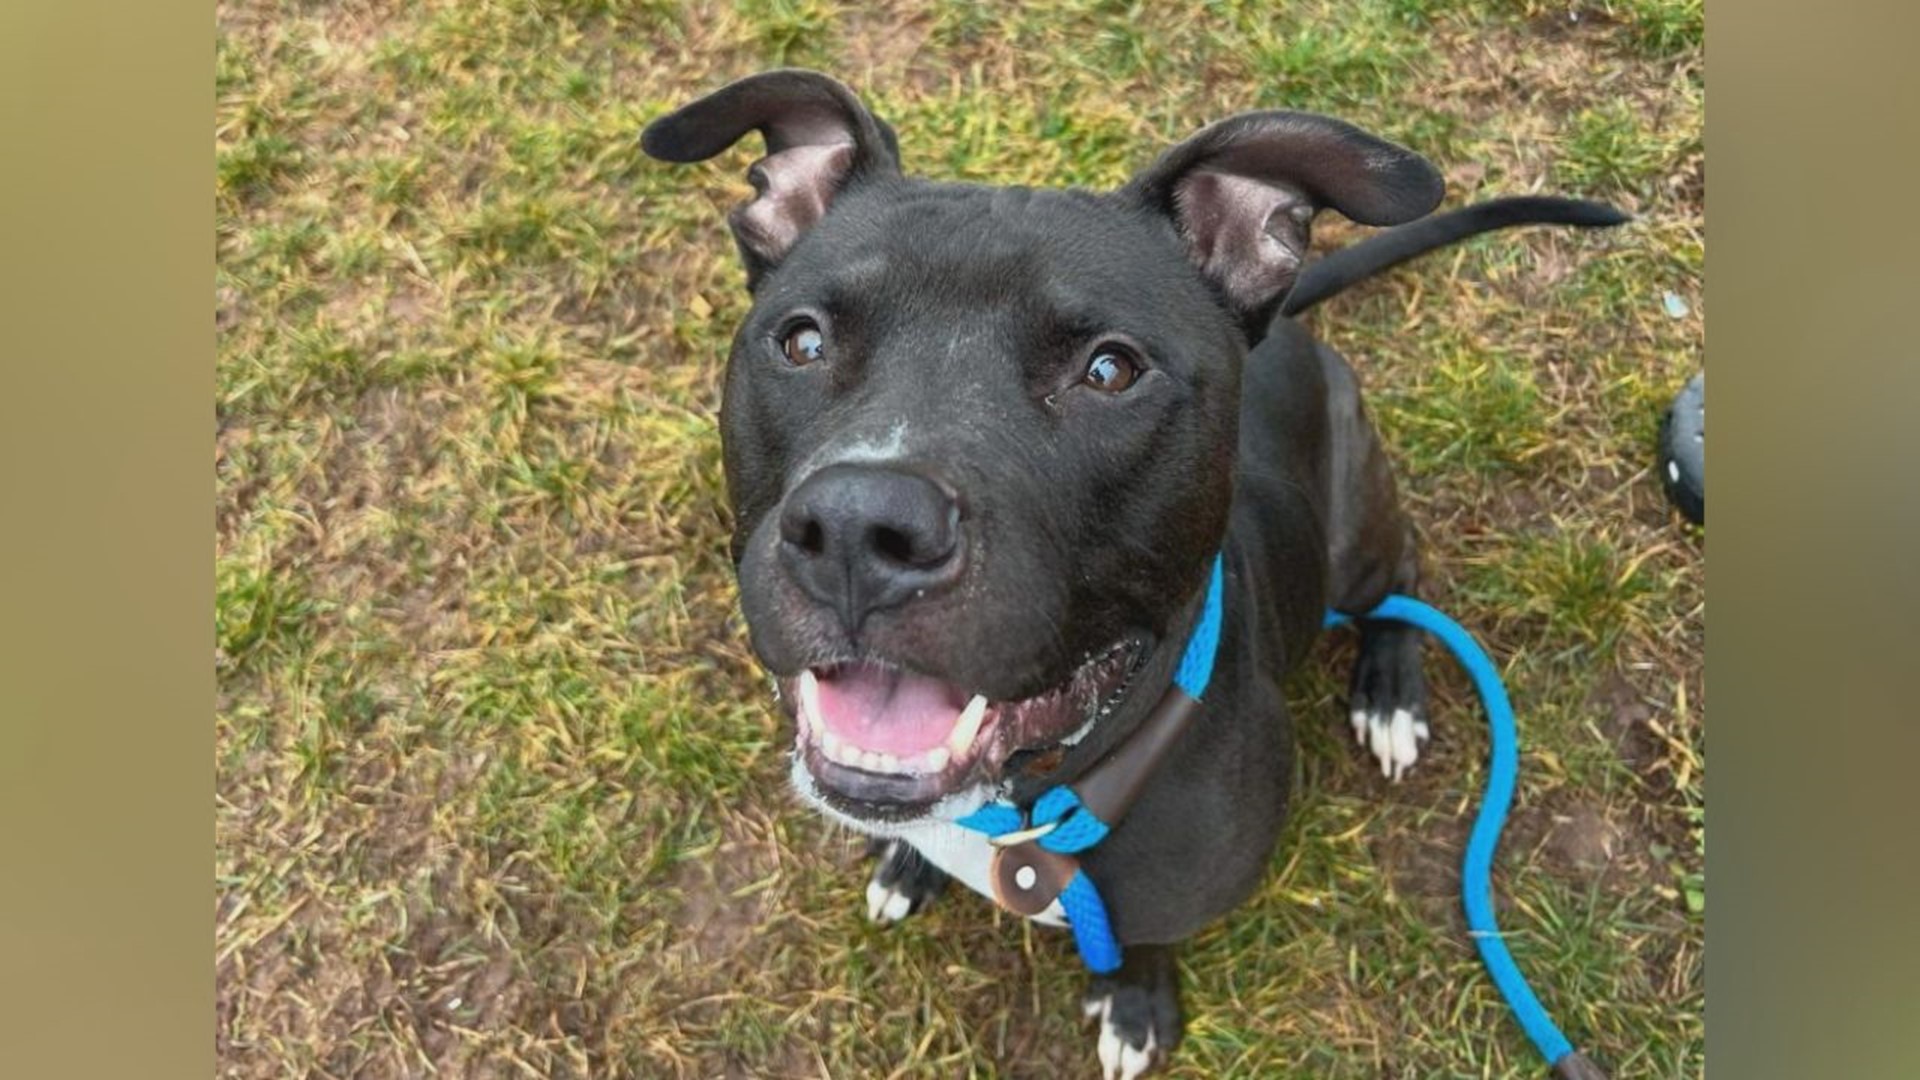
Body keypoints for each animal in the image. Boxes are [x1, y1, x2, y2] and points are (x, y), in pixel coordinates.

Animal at [641, 71, 1620, 1068]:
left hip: (1358, 525)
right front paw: (911, 864)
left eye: (1110, 370)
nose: (856, 527)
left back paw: (1388, 695)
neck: (1029, 813)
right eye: (801, 342)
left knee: (1401, 578)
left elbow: (1145, 943)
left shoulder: (1170, 895)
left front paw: (1134, 1005)